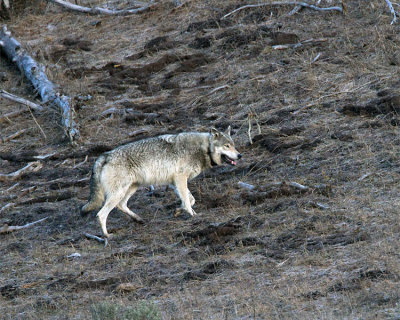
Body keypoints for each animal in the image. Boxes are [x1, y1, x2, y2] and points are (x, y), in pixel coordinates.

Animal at [80, 127, 241, 238]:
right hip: (119, 192)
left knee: (121, 205)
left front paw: (179, 210)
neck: (204, 149)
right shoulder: (180, 178)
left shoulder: (174, 182)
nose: (240, 155)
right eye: (227, 146)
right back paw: (107, 236)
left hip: (131, 189)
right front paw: (193, 215)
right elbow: (188, 201)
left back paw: (138, 220)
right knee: (101, 214)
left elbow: (190, 200)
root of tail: (104, 156)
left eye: (233, 144)